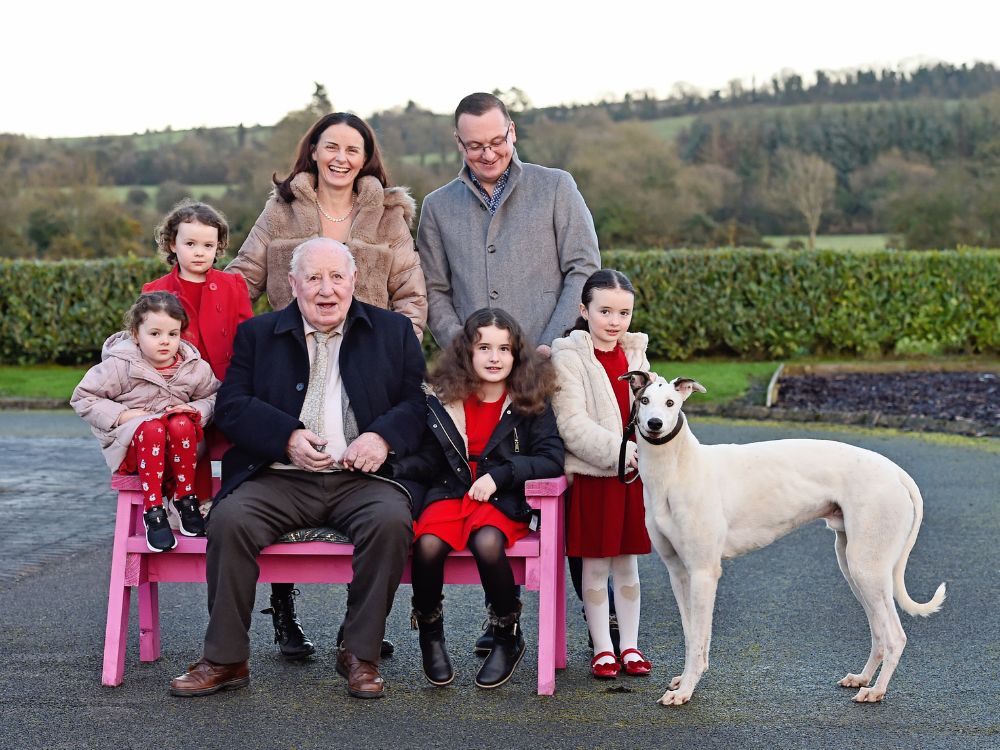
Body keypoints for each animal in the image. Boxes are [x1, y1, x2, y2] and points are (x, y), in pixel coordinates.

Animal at [620, 374, 948, 708]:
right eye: (644, 400)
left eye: (670, 403)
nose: (655, 424)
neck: (678, 469)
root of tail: (897, 474)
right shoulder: (679, 572)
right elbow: (692, 637)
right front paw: (685, 679)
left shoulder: (703, 572)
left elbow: (697, 638)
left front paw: (685, 690)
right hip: (854, 566)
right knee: (880, 633)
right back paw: (862, 678)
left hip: (867, 568)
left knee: (895, 636)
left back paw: (876, 691)